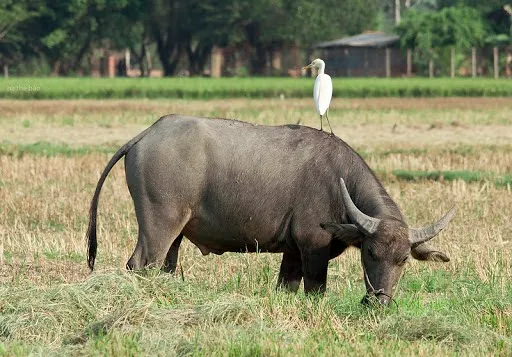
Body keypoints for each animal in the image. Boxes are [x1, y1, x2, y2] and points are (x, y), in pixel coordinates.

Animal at [86, 115, 454, 304]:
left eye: (403, 260)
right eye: (369, 254)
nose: (379, 300)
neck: (338, 181)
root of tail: (146, 134)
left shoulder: (292, 253)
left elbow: (286, 287)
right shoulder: (313, 249)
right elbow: (315, 291)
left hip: (176, 232)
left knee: (165, 266)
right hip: (159, 225)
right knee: (140, 264)